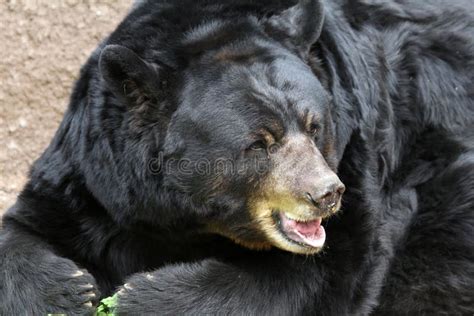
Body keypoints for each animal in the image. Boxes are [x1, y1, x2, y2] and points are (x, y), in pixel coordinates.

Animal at [0, 0, 474, 314]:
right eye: (259, 143)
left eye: (315, 126)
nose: (326, 194)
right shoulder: (98, 171)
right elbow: (32, 221)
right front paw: (68, 290)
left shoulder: (359, 162)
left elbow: (324, 274)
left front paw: (140, 298)